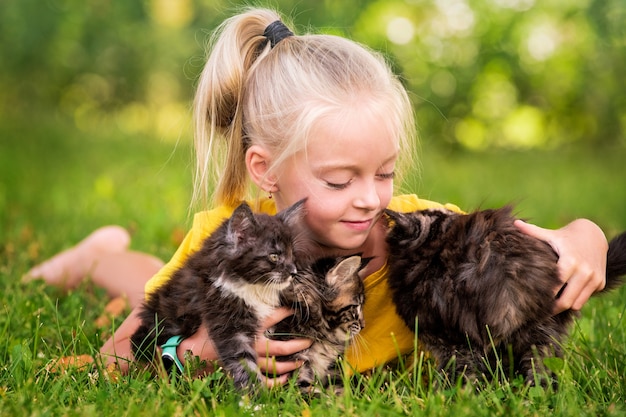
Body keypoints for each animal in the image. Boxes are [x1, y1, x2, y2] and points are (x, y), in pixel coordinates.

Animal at [132, 200, 308, 388]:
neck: (251, 286)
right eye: (274, 257)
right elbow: (243, 363)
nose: (293, 272)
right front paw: (255, 394)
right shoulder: (226, 318)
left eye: (292, 255)